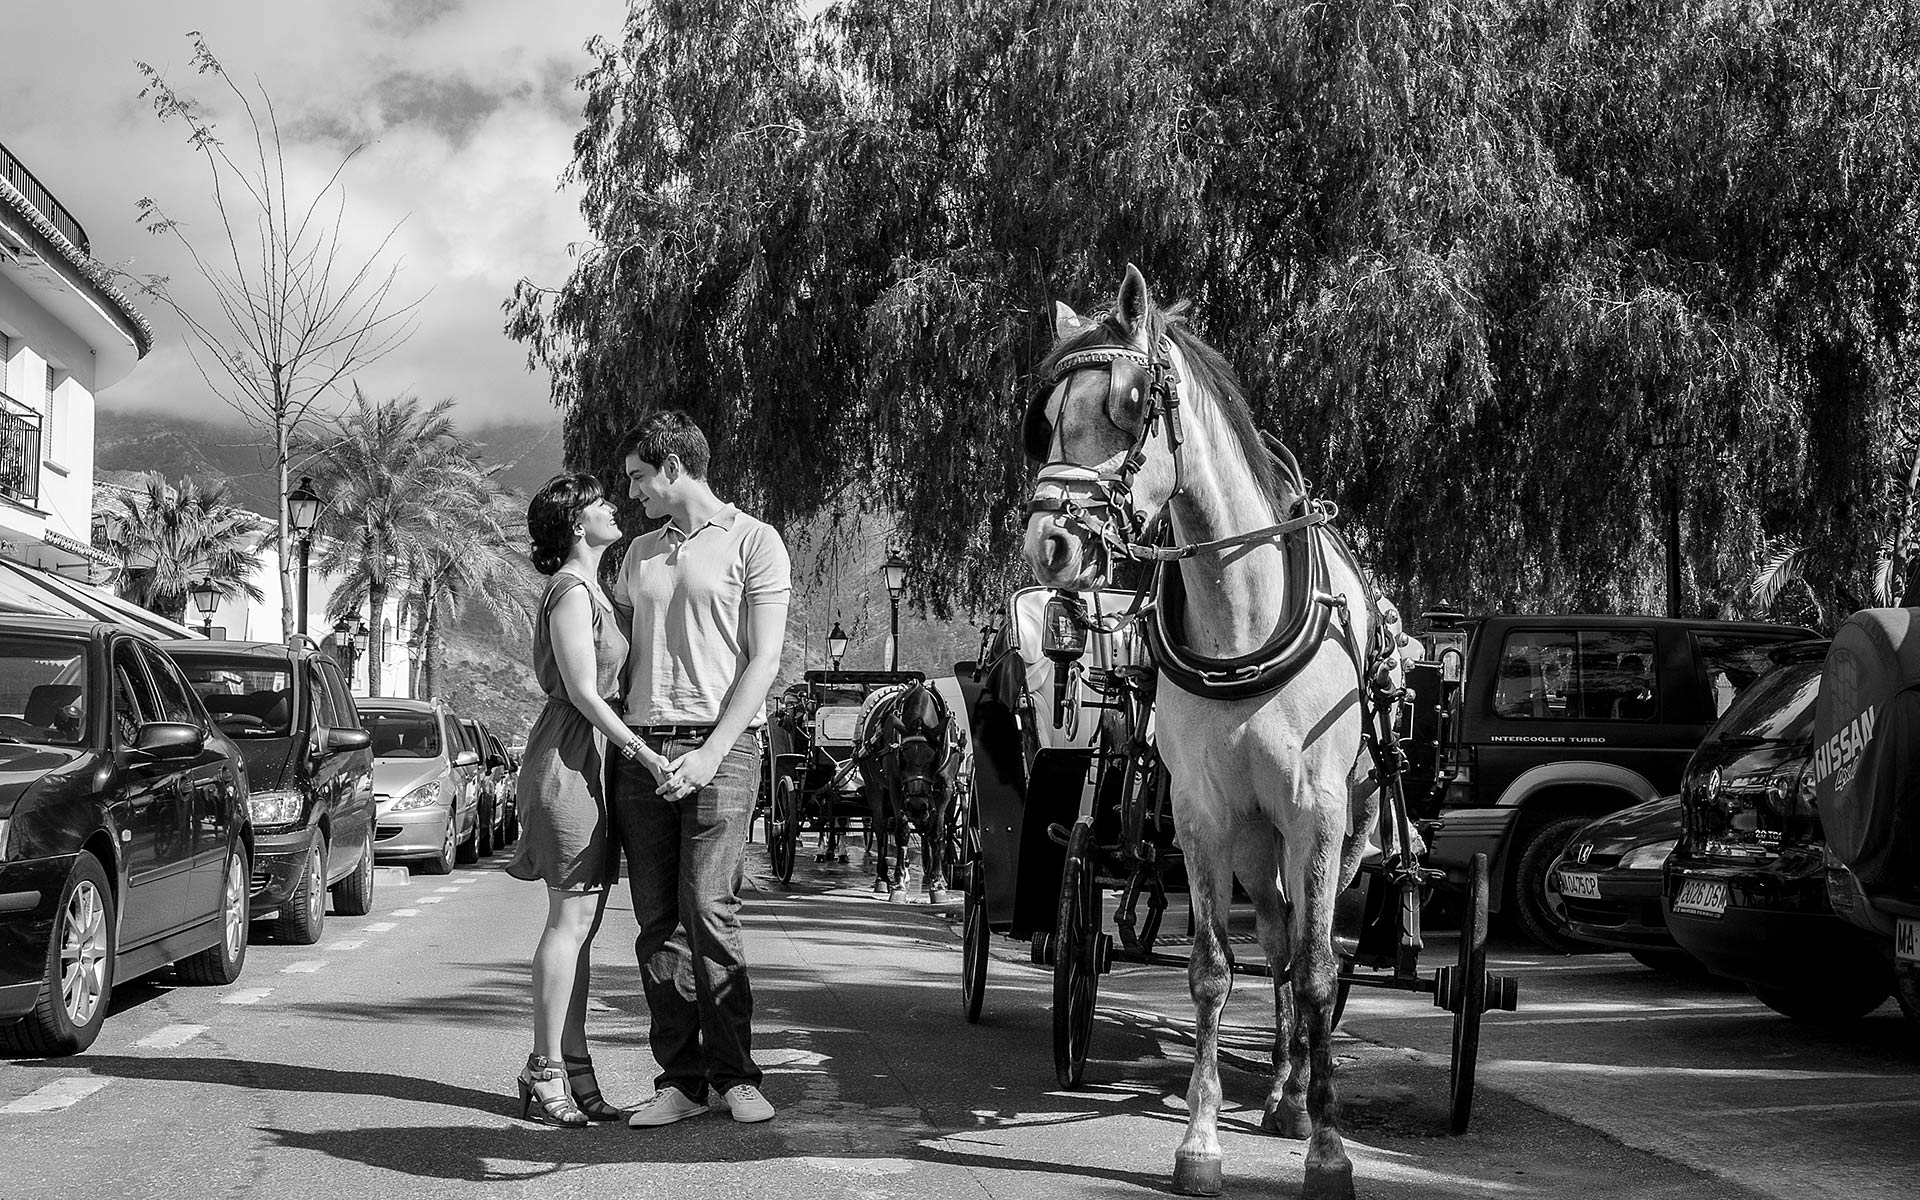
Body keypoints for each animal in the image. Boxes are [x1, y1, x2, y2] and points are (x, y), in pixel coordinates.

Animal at [1029, 264, 1390, 1198]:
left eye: (1127, 405)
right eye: (1047, 416)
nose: (1049, 545)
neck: (1244, 619)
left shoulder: (1317, 813)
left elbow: (1321, 971)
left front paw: (1328, 1151)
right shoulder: (1202, 814)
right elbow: (1214, 971)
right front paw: (1200, 1141)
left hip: (1342, 831)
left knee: (1310, 949)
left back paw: (1298, 1097)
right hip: (1258, 841)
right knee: (1278, 937)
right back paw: (1284, 1088)